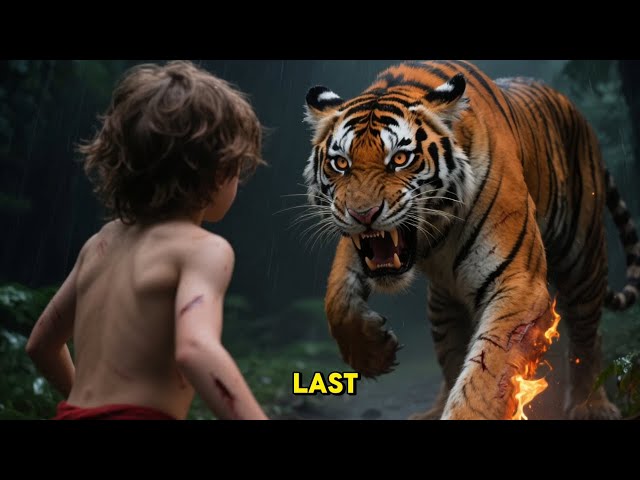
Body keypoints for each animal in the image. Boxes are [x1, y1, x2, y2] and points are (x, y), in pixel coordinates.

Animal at [302, 60, 640, 420]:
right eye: (340, 163)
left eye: (400, 159)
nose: (363, 214)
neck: (434, 232)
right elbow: (337, 296)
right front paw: (372, 353)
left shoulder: (518, 283)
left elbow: (486, 376)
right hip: (441, 305)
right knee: (450, 358)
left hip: (583, 258)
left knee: (588, 334)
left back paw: (591, 405)